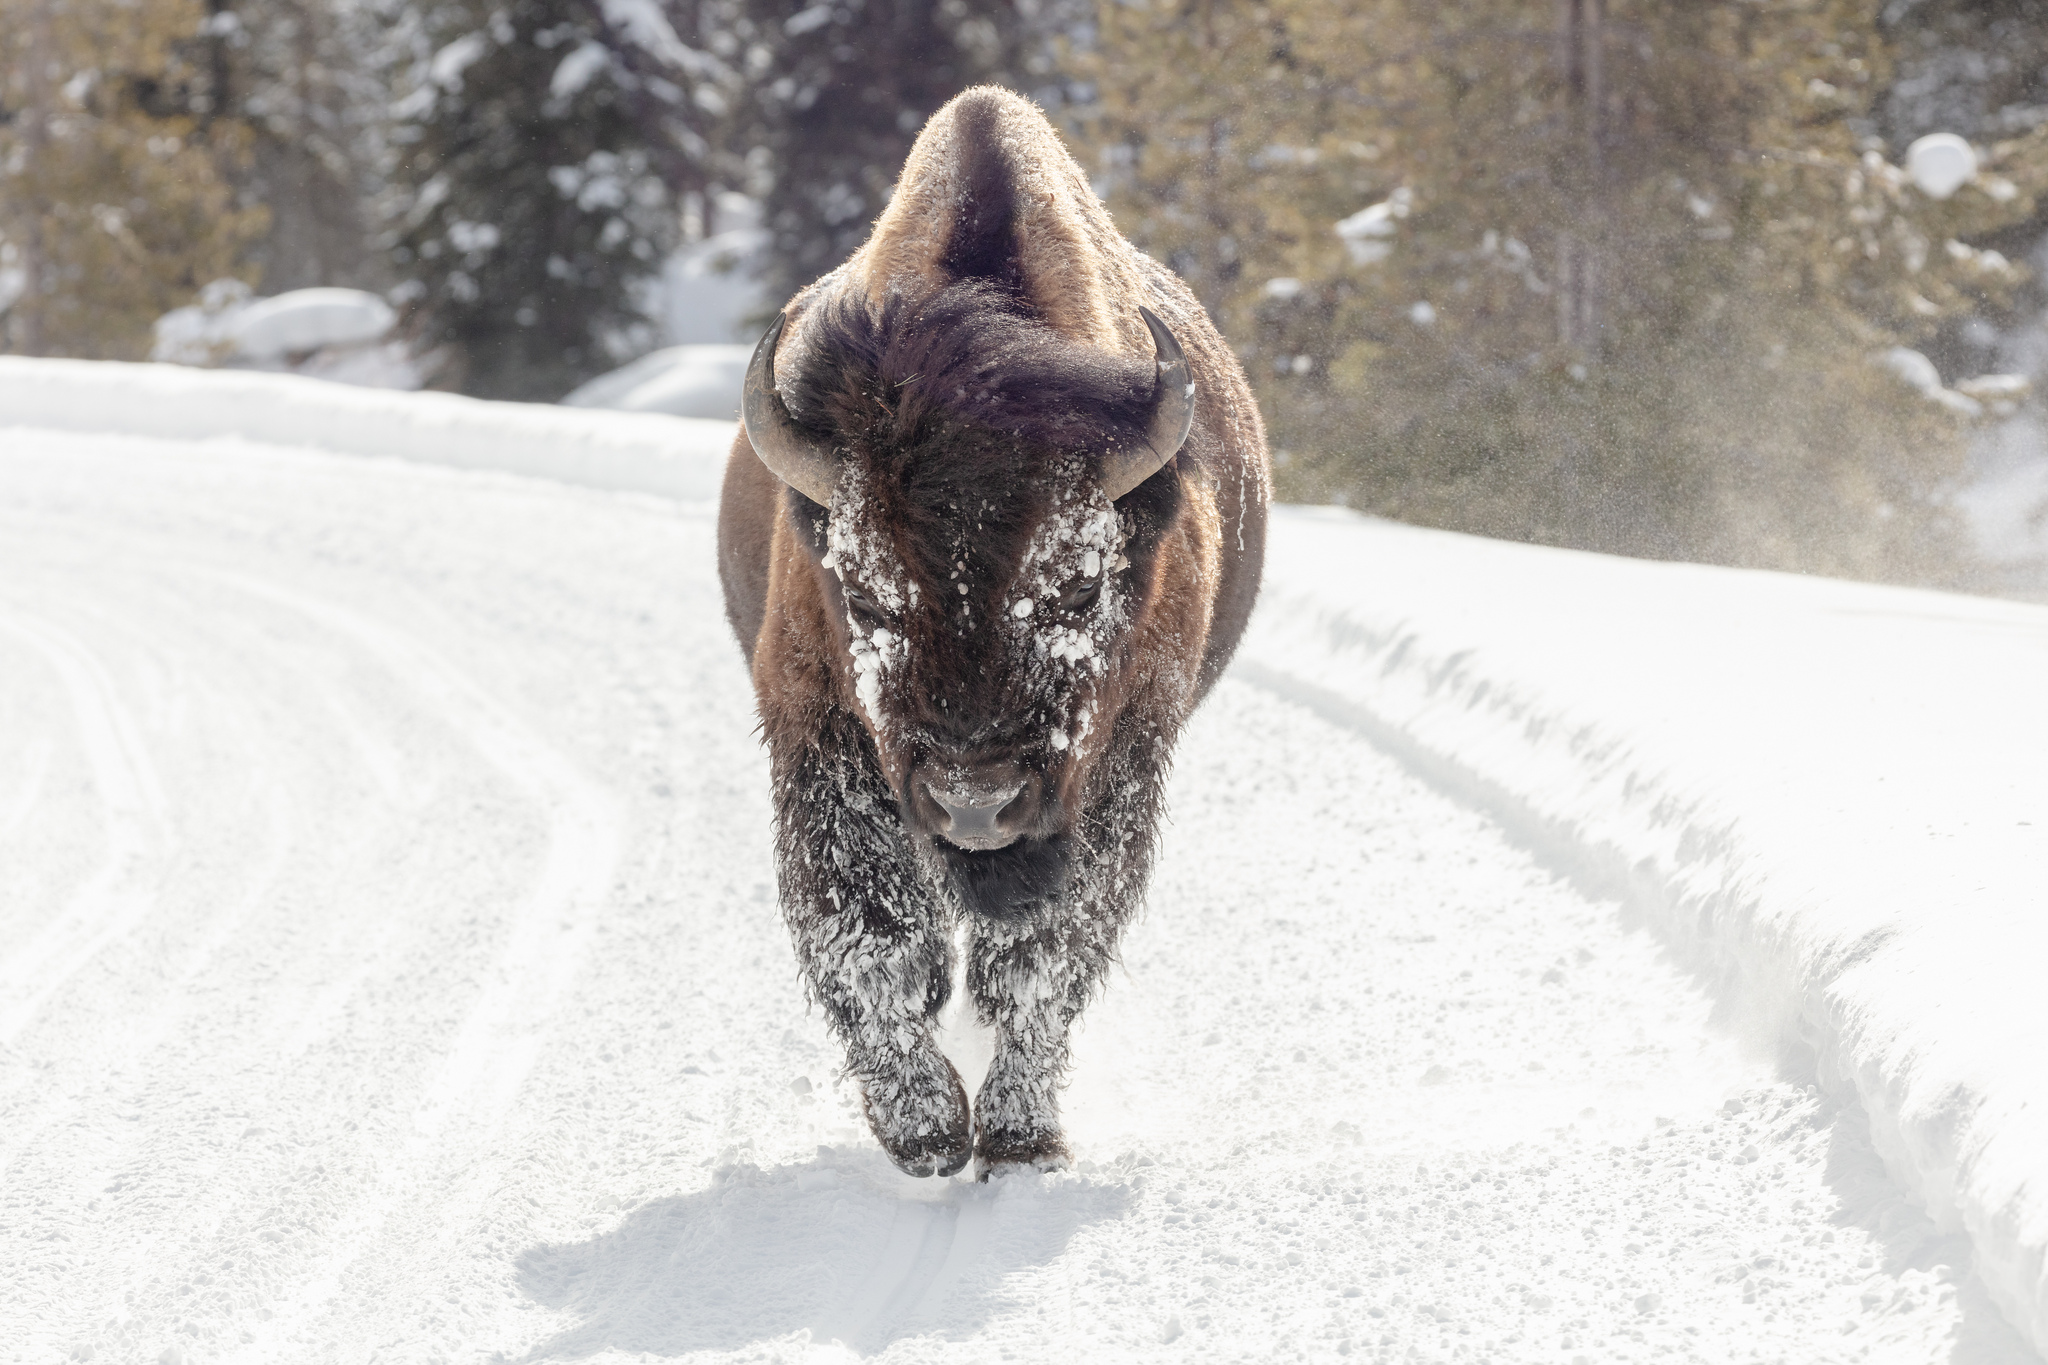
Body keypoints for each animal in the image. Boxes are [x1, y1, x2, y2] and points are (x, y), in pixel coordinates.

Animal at [720, 85, 1261, 1178]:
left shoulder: (1118, 757)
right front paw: (925, 1130)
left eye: (1079, 587)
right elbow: (871, 939)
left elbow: (1044, 956)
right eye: (864, 594)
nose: (976, 802)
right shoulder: (819, 732)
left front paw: (1016, 1137)